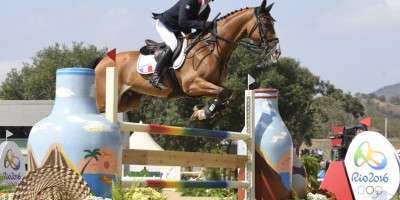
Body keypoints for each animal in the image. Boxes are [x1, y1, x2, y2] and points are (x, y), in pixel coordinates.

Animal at [88, 0, 280, 120]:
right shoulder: (192, 85)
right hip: (103, 99)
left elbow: (228, 94)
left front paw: (203, 112)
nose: (276, 51)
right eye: (265, 24)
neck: (212, 49)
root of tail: (103, 61)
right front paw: (203, 112)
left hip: (126, 102)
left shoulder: (210, 84)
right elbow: (222, 93)